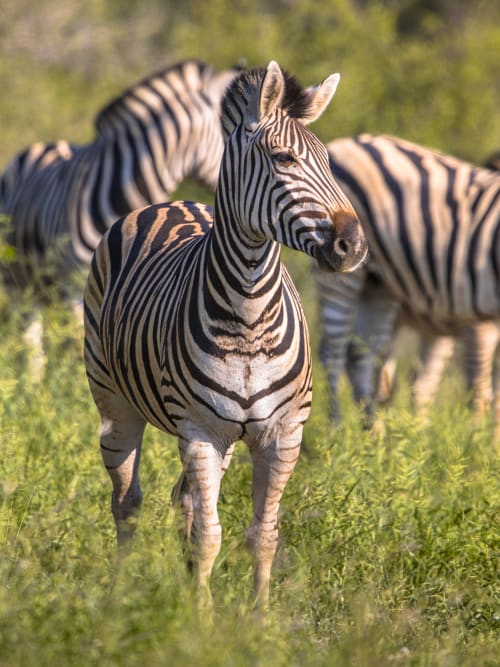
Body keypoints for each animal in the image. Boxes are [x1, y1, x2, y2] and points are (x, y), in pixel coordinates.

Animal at [83, 64, 368, 612]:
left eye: (328, 161)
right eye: (284, 159)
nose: (353, 245)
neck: (250, 315)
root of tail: (173, 201)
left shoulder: (282, 433)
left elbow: (263, 534)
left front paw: (257, 618)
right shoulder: (200, 431)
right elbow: (209, 536)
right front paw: (201, 619)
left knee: (183, 501)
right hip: (115, 402)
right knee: (127, 502)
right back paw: (118, 597)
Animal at [316, 134, 500, 426]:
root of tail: (345, 142)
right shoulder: (478, 319)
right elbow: (481, 394)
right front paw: (478, 438)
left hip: (379, 284)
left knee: (365, 357)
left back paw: (376, 432)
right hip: (343, 274)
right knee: (332, 353)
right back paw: (337, 428)